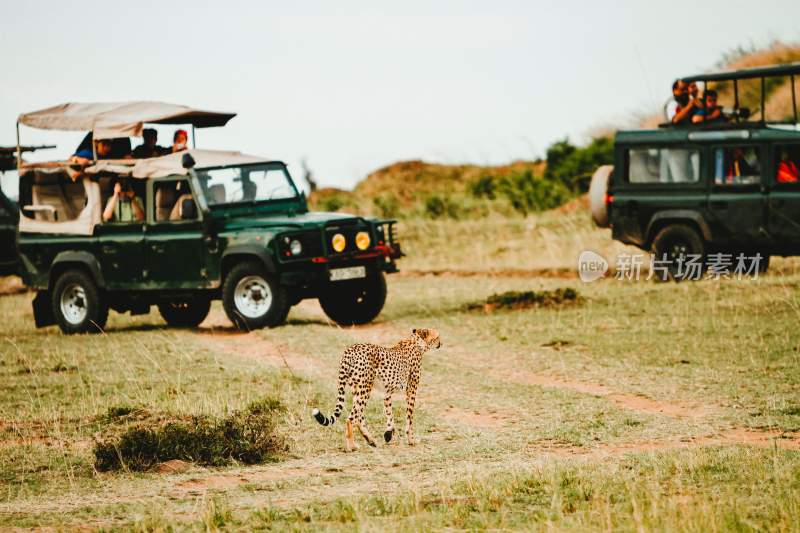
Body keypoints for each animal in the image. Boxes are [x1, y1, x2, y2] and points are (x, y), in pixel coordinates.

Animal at [310, 328, 440, 448]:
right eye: (437, 337)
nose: (440, 343)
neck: (416, 342)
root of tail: (350, 349)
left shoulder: (386, 392)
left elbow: (389, 413)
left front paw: (388, 434)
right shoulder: (411, 389)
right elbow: (409, 416)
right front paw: (411, 440)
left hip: (357, 389)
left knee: (359, 417)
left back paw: (370, 440)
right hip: (365, 388)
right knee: (351, 418)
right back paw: (352, 446)